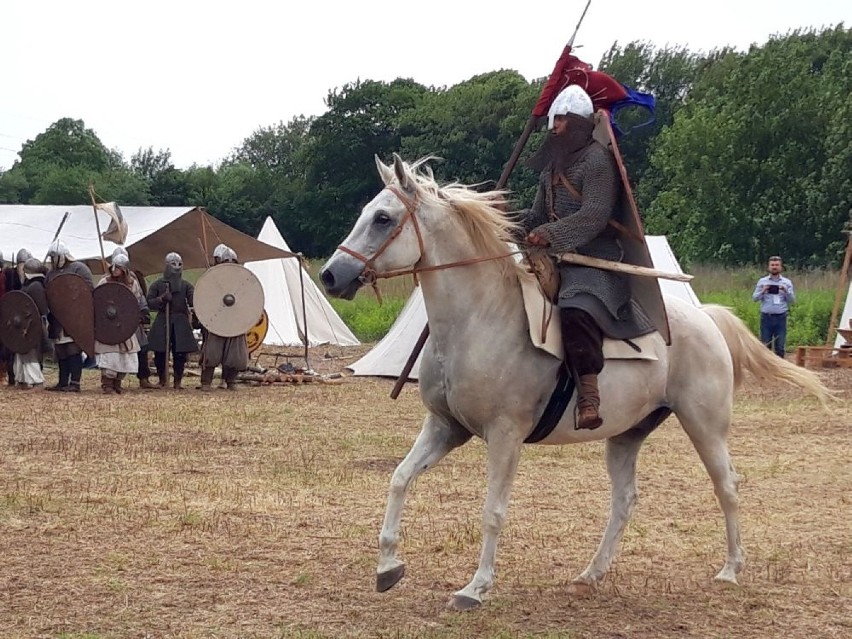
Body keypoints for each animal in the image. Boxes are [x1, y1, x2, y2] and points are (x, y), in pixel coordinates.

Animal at [318, 154, 824, 608]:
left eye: (383, 218)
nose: (330, 275)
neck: (478, 318)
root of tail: (706, 317)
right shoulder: (446, 427)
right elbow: (399, 479)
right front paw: (388, 566)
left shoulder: (505, 436)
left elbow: (492, 511)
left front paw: (475, 588)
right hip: (628, 433)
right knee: (624, 500)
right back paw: (590, 574)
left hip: (705, 424)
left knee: (727, 486)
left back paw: (730, 569)